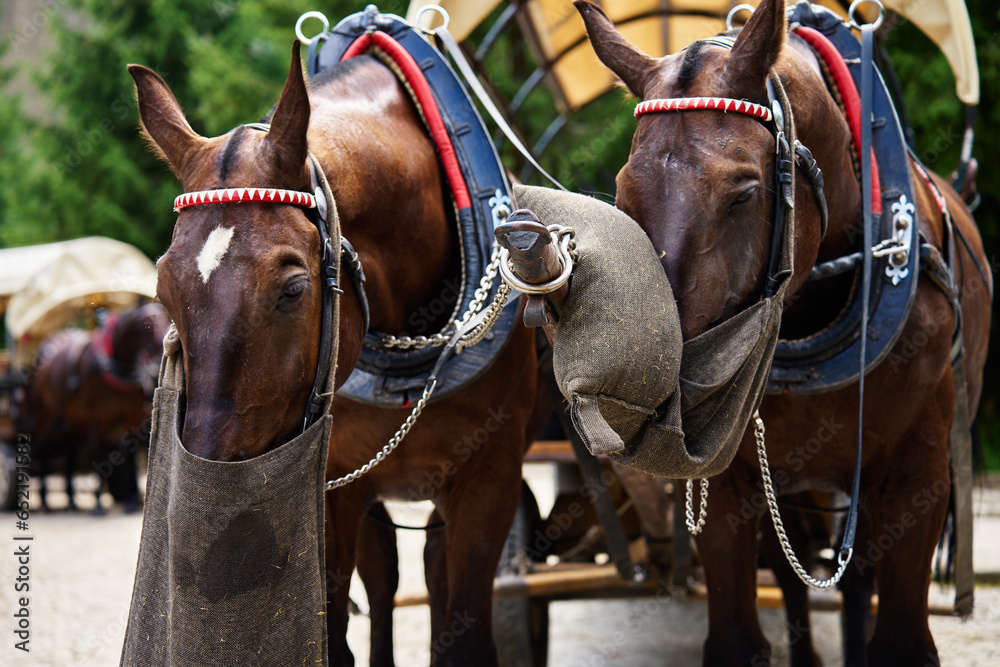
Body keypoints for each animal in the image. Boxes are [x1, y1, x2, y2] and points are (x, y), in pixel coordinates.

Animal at [22, 301, 168, 513]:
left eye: (165, 319)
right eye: (145, 325)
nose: (161, 350)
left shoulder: (129, 416)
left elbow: (127, 453)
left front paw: (130, 500)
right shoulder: (99, 419)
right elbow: (98, 452)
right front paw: (99, 502)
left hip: (73, 419)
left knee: (70, 452)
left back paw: (71, 498)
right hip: (45, 416)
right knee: (45, 450)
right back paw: (45, 499)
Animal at [128, 40, 540, 666]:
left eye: (294, 289)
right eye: (163, 290)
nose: (214, 507)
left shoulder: (490, 477)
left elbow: (465, 635)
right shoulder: (333, 485)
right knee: (387, 575)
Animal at [576, 0, 991, 664]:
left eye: (743, 194)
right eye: (622, 194)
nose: (661, 400)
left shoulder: (916, 475)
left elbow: (897, 633)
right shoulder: (733, 480)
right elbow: (738, 635)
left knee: (855, 581)